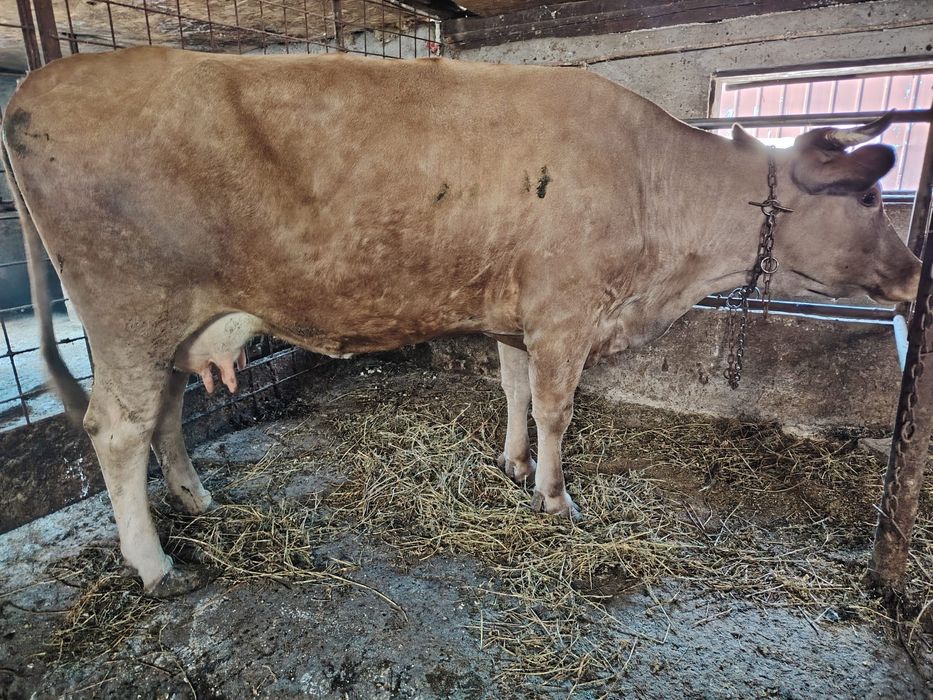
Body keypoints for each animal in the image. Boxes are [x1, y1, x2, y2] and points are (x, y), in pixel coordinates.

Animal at [2, 47, 919, 597]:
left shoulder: (520, 315)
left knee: (164, 413)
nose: (914, 274)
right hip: (130, 306)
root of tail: (40, 82)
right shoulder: (564, 313)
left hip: (172, 324)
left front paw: (510, 465)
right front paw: (553, 496)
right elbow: (554, 410)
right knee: (118, 429)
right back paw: (155, 564)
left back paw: (196, 503)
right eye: (869, 198)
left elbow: (512, 393)